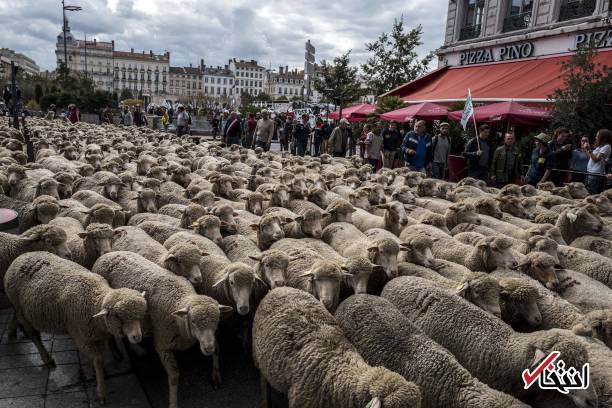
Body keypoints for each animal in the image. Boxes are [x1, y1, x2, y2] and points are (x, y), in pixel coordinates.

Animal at [5, 253, 146, 404]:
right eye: (118, 316)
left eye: (140, 315)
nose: (137, 337)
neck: (94, 302)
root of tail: (21, 257)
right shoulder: (81, 337)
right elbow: (98, 359)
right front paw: (101, 391)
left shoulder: (98, 334)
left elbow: (103, 350)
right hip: (22, 309)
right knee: (34, 335)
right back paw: (47, 358)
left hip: (20, 308)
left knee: (15, 316)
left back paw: (10, 332)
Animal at [91, 252, 232, 408]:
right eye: (193, 321)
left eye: (217, 320)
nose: (208, 348)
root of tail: (106, 255)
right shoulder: (163, 345)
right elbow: (174, 377)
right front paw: (173, 403)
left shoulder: (211, 336)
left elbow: (217, 349)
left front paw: (216, 375)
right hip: (111, 316)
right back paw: (118, 351)